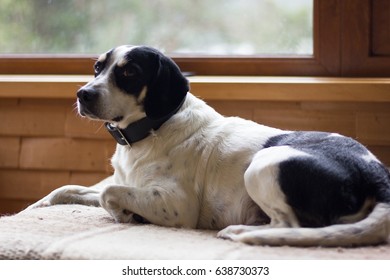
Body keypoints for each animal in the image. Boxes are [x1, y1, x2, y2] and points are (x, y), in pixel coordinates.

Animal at [25, 44, 388, 246]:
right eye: (98, 68)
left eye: (129, 72)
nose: (82, 94)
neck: (154, 127)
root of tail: (378, 175)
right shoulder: (127, 183)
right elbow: (67, 188)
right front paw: (34, 209)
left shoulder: (175, 204)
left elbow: (107, 194)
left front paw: (128, 215)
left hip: (264, 164)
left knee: (292, 228)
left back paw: (241, 230)